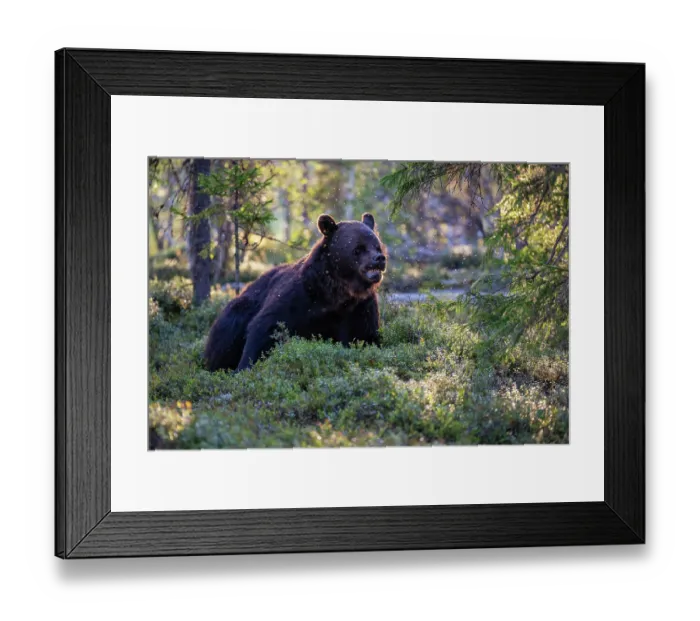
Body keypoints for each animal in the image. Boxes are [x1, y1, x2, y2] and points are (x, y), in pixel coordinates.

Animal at [204, 212, 387, 372]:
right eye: (359, 248)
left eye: (377, 246)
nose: (379, 258)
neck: (335, 292)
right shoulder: (297, 297)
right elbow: (265, 326)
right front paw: (244, 367)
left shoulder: (358, 308)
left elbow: (365, 336)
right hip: (240, 308)